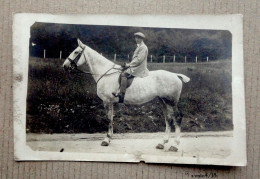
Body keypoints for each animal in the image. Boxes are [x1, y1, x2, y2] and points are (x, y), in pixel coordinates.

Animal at [62, 39, 190, 151]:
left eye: (76, 52)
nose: (65, 66)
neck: (105, 73)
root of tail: (176, 75)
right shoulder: (110, 102)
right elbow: (111, 118)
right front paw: (109, 138)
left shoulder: (107, 101)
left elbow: (108, 119)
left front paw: (106, 139)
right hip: (163, 101)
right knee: (168, 118)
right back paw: (163, 143)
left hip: (171, 101)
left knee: (177, 118)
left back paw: (175, 145)